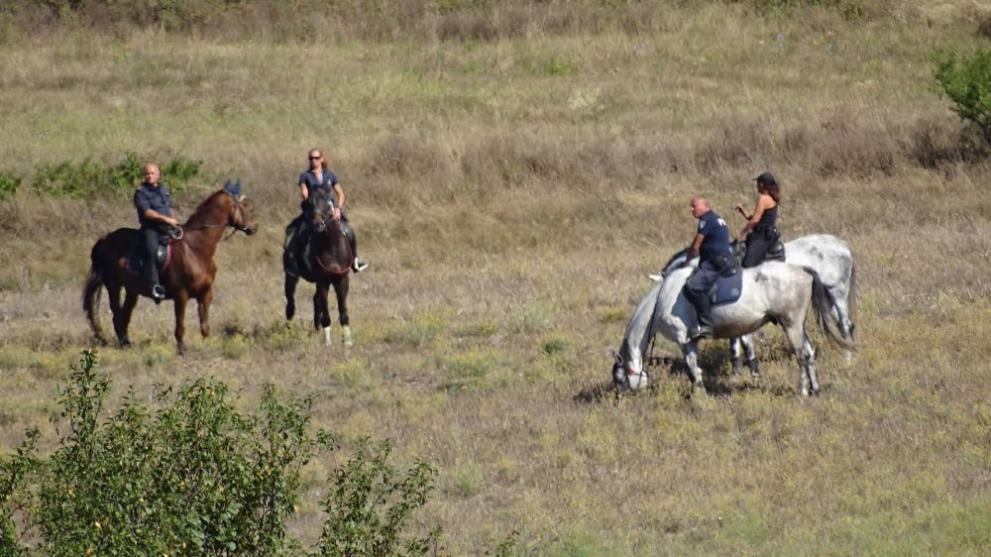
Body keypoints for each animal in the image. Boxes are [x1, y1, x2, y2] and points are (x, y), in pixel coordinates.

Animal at [84, 180, 258, 352]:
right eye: (245, 205)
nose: (254, 227)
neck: (196, 248)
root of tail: (105, 239)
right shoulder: (181, 295)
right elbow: (180, 325)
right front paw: (181, 349)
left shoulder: (206, 293)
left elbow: (204, 325)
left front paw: (207, 345)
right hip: (114, 285)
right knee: (116, 315)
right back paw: (123, 344)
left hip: (132, 290)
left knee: (125, 315)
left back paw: (127, 343)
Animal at [282, 188, 352, 344]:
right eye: (309, 204)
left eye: (328, 204)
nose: (318, 224)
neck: (332, 248)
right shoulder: (323, 282)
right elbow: (325, 312)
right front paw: (327, 342)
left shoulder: (342, 281)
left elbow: (343, 310)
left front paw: (347, 341)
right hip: (291, 277)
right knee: (290, 304)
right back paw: (288, 330)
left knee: (315, 301)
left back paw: (316, 329)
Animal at [612, 260, 852, 396]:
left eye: (619, 379)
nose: (620, 400)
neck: (662, 298)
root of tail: (803, 270)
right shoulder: (692, 341)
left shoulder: (684, 340)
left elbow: (692, 369)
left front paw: (699, 394)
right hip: (798, 327)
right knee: (809, 353)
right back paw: (815, 389)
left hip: (791, 325)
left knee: (802, 355)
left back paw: (802, 391)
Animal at [656, 232, 856, 376]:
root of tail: (843, 246)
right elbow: (734, 340)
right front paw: (737, 368)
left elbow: (743, 340)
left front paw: (749, 369)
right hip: (828, 298)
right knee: (844, 324)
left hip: (838, 293)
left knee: (845, 324)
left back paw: (847, 359)